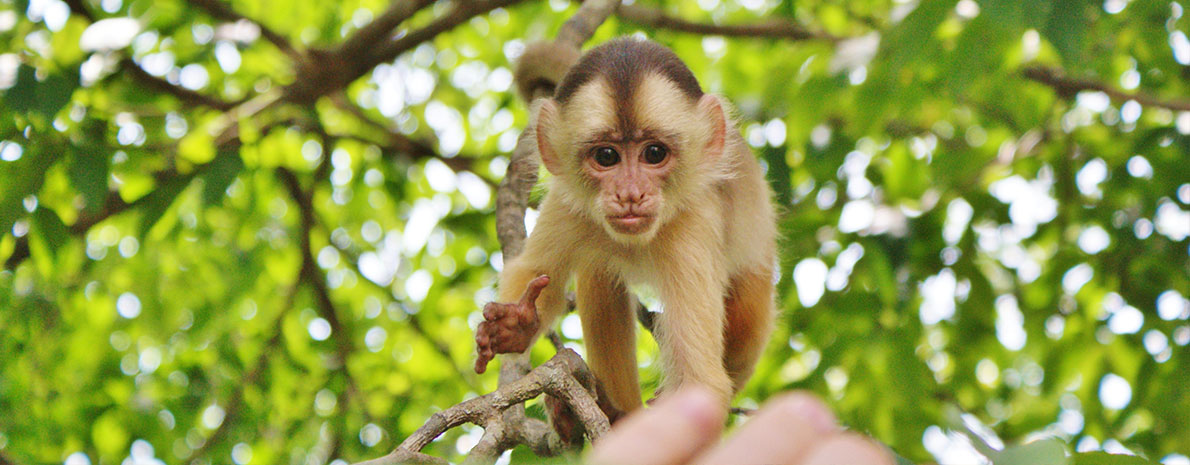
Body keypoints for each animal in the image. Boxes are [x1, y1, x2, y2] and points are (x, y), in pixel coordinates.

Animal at [476, 39, 780, 425]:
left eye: (654, 153)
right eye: (607, 156)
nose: (631, 194)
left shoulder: (693, 226)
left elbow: (700, 382)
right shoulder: (568, 206)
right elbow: (534, 271)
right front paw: (517, 324)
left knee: (747, 317)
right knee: (599, 271)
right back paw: (614, 411)